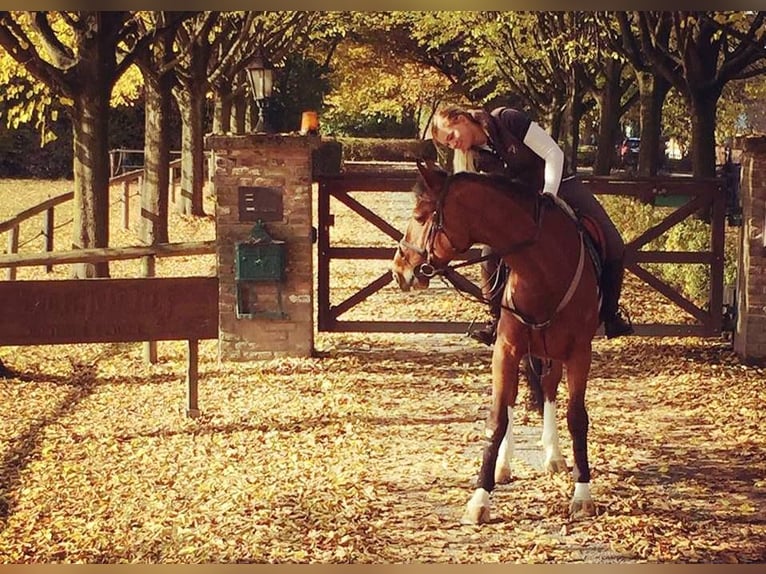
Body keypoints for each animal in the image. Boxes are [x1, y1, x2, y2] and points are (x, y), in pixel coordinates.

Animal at [392, 162, 604, 528]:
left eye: (420, 216)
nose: (398, 269)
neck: (543, 269)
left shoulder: (579, 353)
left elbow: (577, 418)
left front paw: (582, 495)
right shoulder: (506, 349)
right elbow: (497, 417)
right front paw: (480, 498)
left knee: (549, 388)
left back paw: (553, 455)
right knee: (516, 398)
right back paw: (506, 464)